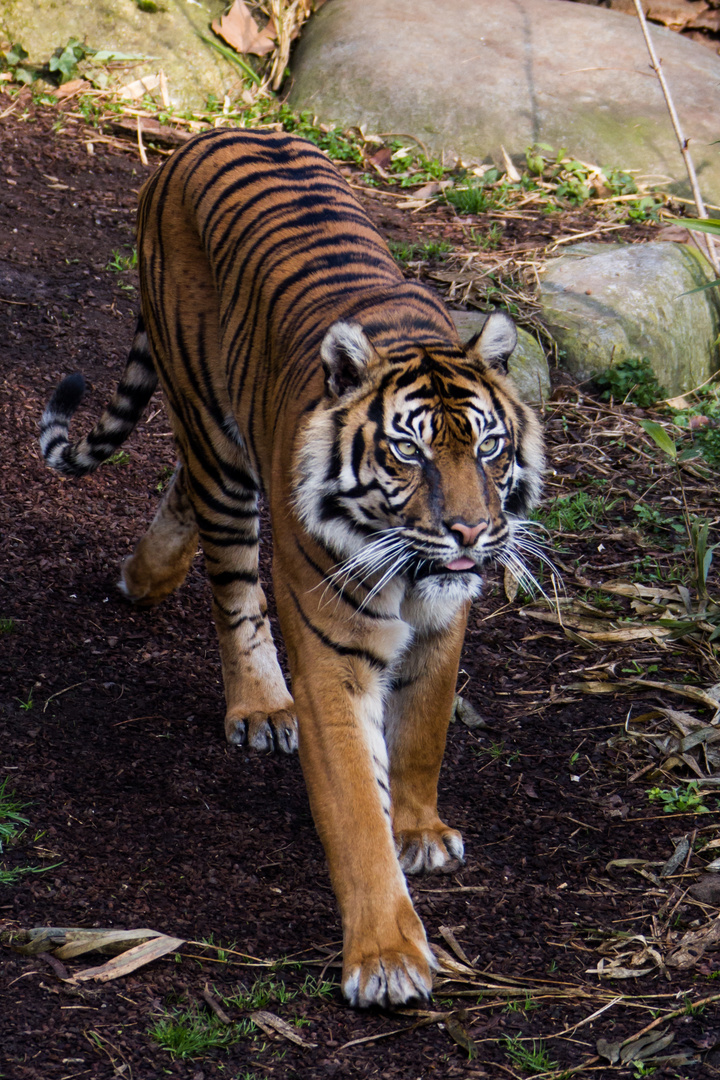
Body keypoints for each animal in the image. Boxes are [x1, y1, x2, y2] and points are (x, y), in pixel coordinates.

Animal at [39, 128, 544, 1010]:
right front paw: (386, 957)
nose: (472, 530)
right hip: (217, 440)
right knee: (231, 576)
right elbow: (354, 809)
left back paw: (145, 575)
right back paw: (257, 701)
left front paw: (420, 830)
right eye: (409, 451)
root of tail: (205, 136)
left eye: (487, 446)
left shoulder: (445, 622)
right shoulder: (333, 659)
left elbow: (424, 729)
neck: (416, 576)